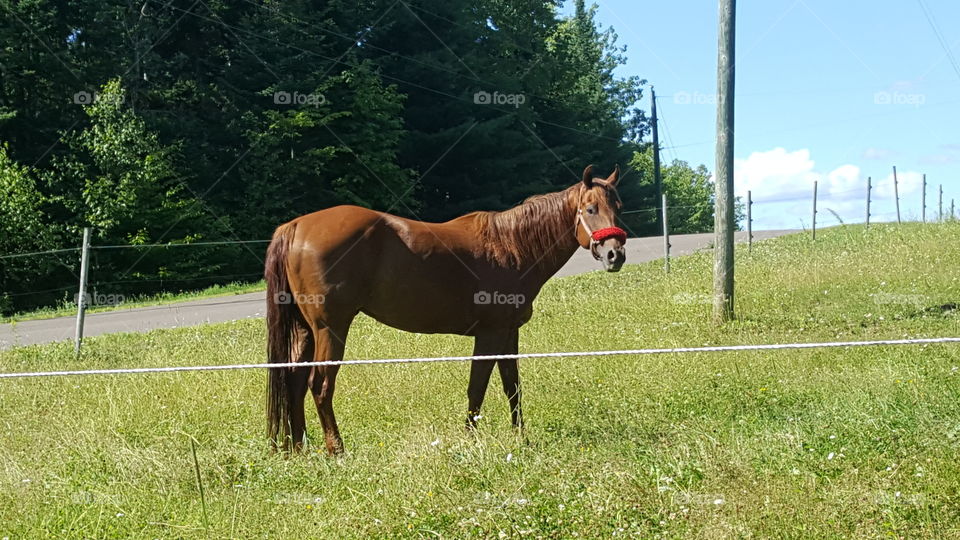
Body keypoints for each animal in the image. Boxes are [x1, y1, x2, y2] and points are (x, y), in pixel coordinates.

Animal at [264, 165, 627, 454]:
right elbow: (477, 387)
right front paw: (470, 440)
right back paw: (336, 449)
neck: (510, 246)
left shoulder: (508, 333)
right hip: (330, 328)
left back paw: (298, 447)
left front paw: (520, 437)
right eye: (590, 208)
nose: (615, 255)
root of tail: (295, 226)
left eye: (618, 207)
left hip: (306, 330)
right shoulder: (490, 334)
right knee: (320, 385)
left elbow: (512, 386)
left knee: (294, 381)